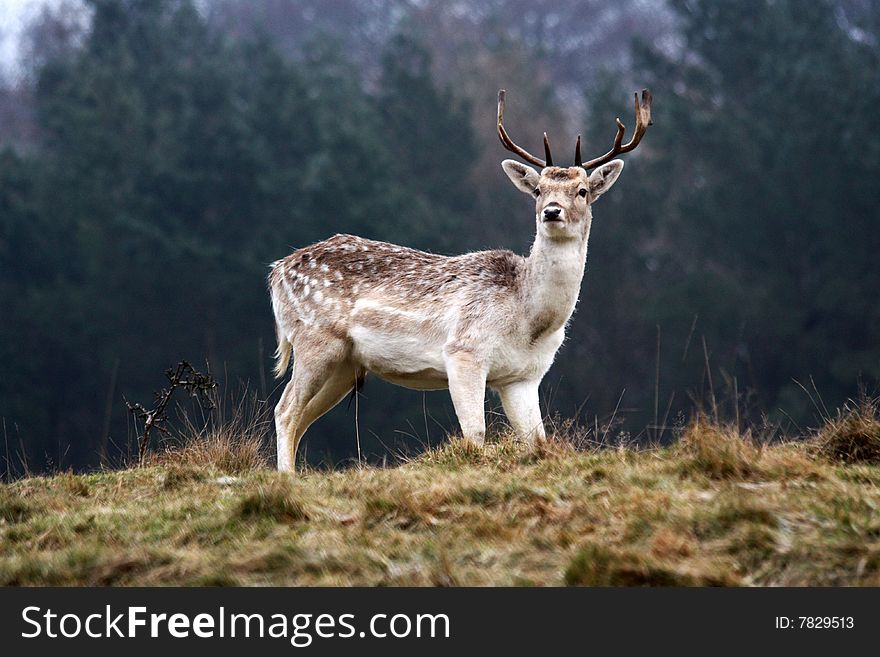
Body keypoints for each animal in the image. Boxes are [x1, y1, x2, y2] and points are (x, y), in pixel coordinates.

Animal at [268, 88, 652, 472]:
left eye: (583, 190)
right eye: (538, 190)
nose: (552, 211)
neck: (529, 320)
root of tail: (276, 272)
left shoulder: (524, 376)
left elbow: (538, 441)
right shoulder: (464, 351)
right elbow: (476, 435)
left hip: (346, 364)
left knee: (301, 417)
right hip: (315, 340)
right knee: (285, 410)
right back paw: (287, 477)